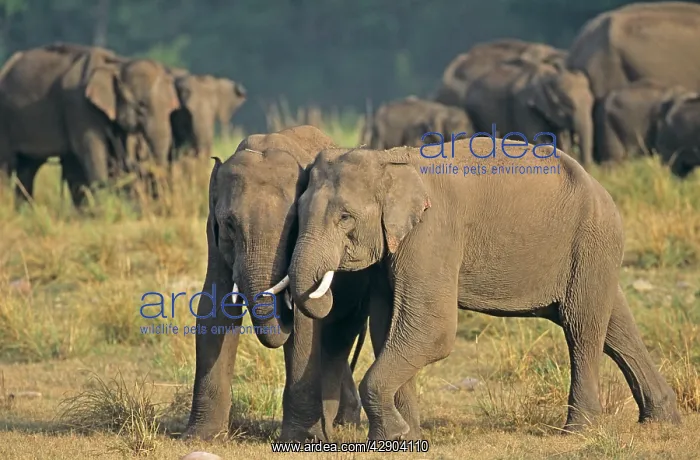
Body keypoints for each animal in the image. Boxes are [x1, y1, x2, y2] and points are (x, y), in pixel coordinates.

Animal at [0, 42, 180, 207]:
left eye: (171, 109)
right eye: (141, 106)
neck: (117, 64)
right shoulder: (79, 105)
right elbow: (92, 150)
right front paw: (103, 209)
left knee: (28, 168)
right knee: (8, 165)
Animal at [184, 125, 374, 443]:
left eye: (293, 225)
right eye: (230, 225)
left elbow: (305, 325)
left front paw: (301, 440)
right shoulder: (213, 234)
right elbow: (213, 309)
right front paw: (200, 438)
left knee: (339, 336)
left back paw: (341, 424)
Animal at [286, 139, 681, 440]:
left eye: (345, 218)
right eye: (297, 214)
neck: (391, 158)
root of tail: (601, 188)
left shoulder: (432, 233)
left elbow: (431, 330)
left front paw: (395, 436)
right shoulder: (393, 250)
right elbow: (387, 328)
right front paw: (406, 438)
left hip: (591, 240)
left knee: (581, 327)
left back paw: (577, 431)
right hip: (590, 251)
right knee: (614, 323)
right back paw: (662, 420)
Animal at [464, 58, 594, 167]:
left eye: (591, 102)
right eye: (568, 104)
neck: (549, 75)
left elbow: (561, 143)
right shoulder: (523, 106)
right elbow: (534, 139)